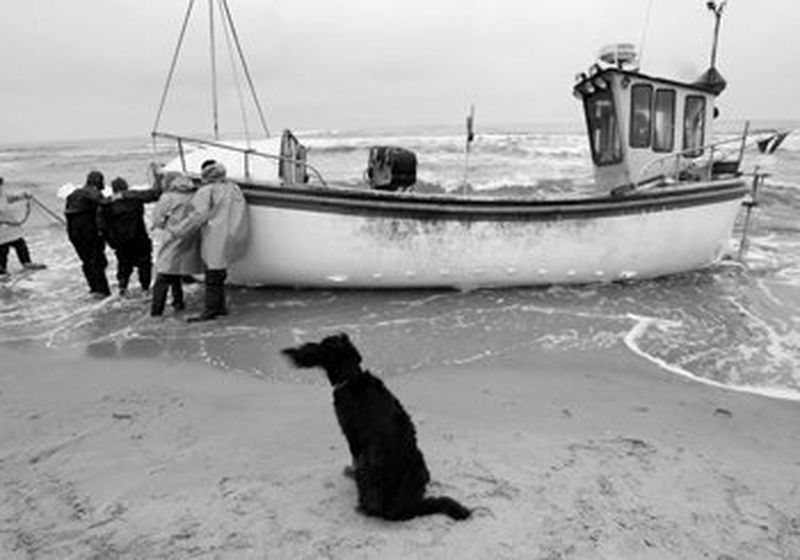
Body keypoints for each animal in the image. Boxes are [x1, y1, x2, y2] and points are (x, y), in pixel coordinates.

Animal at [282, 332, 472, 520]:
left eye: (321, 344)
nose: (294, 350)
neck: (351, 377)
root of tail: (403, 508)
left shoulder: (351, 435)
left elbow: (353, 458)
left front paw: (350, 471)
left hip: (368, 462)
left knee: (369, 505)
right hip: (420, 461)